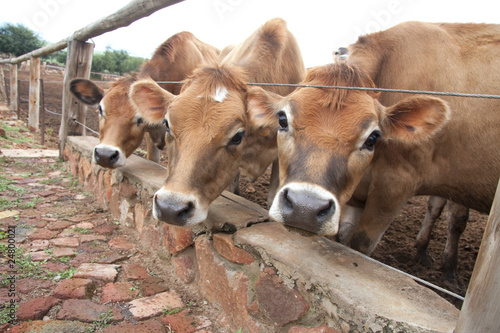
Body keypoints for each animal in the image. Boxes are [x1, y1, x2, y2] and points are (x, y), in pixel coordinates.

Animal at [249, 22, 500, 256]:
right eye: (282, 120)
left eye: (373, 138)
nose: (305, 209)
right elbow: (342, 236)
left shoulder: (395, 185)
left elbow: (361, 243)